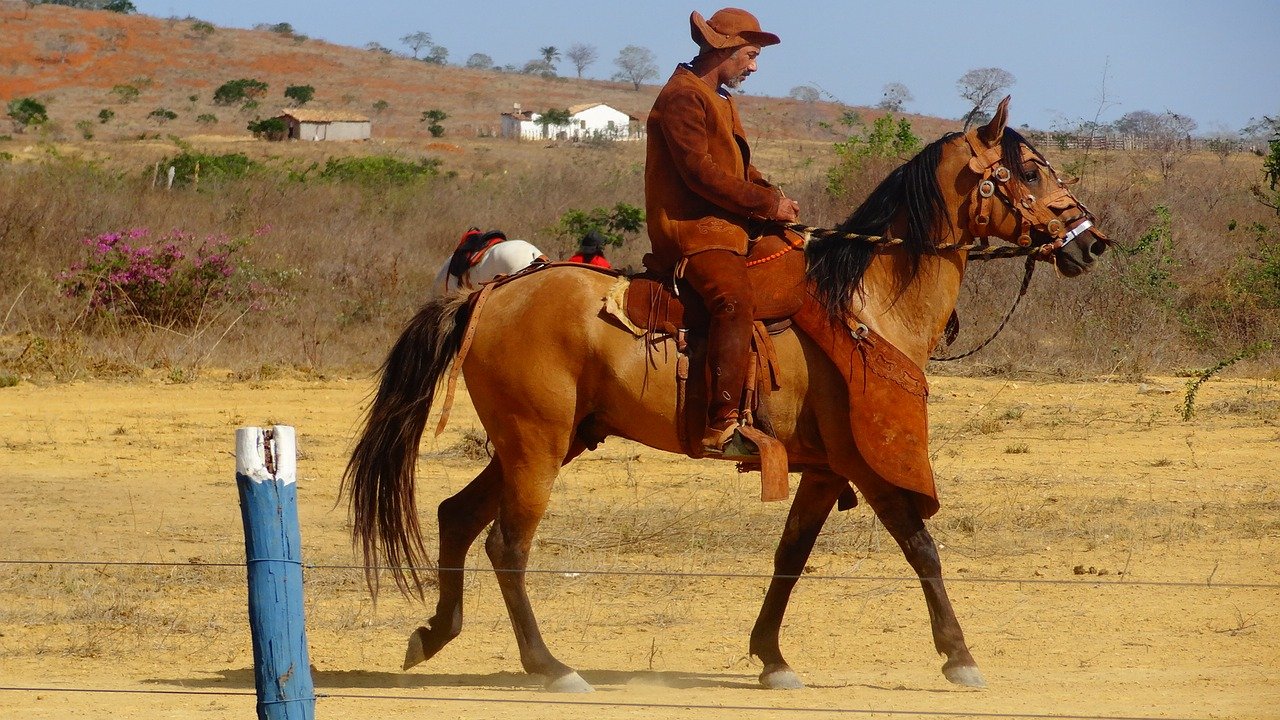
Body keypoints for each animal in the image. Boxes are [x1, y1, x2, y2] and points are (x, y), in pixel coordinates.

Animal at [348, 98, 1111, 691]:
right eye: (1031, 171)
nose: (1090, 241)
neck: (865, 302)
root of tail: (492, 294)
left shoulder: (824, 469)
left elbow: (790, 559)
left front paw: (771, 658)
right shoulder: (867, 466)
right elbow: (922, 548)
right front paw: (959, 656)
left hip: (544, 443)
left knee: (455, 516)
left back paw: (434, 634)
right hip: (535, 446)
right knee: (507, 544)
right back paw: (550, 666)